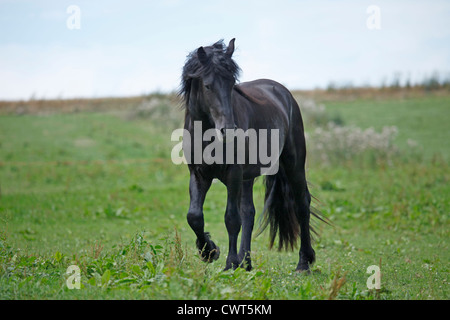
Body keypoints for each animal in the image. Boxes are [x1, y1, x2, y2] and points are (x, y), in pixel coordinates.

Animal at [178, 38, 322, 272]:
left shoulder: (233, 174)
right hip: (247, 177)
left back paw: (303, 263)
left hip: (293, 164)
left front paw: (229, 263)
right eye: (207, 85)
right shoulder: (199, 174)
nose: (228, 130)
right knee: (249, 212)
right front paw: (209, 251)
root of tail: (284, 93)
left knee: (302, 204)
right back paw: (246, 262)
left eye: (231, 84)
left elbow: (231, 218)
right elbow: (194, 216)